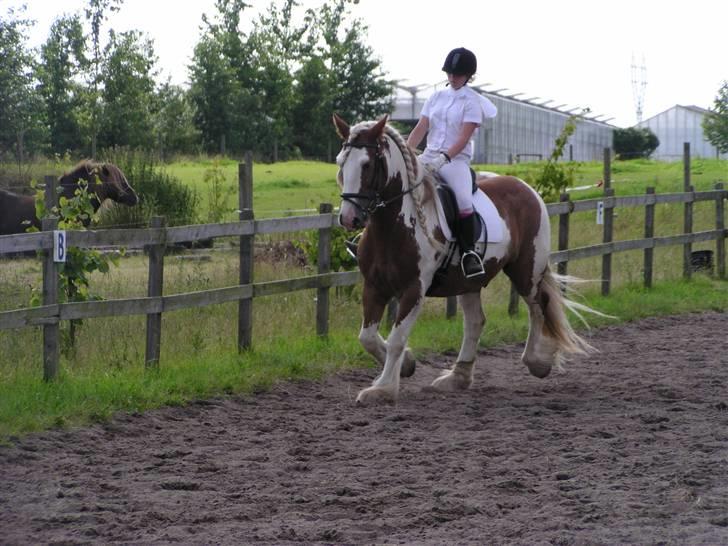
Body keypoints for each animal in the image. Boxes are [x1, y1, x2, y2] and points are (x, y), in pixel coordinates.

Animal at [334, 115, 604, 404]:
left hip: (526, 269)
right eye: (341, 162)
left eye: (367, 164)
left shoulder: (414, 289)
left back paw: (539, 362)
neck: (394, 225)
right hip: (467, 281)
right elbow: (367, 337)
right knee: (476, 321)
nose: (349, 218)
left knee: (538, 305)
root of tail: (526, 188)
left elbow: (397, 338)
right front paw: (406, 365)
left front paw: (383, 388)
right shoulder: (373, 286)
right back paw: (457, 377)